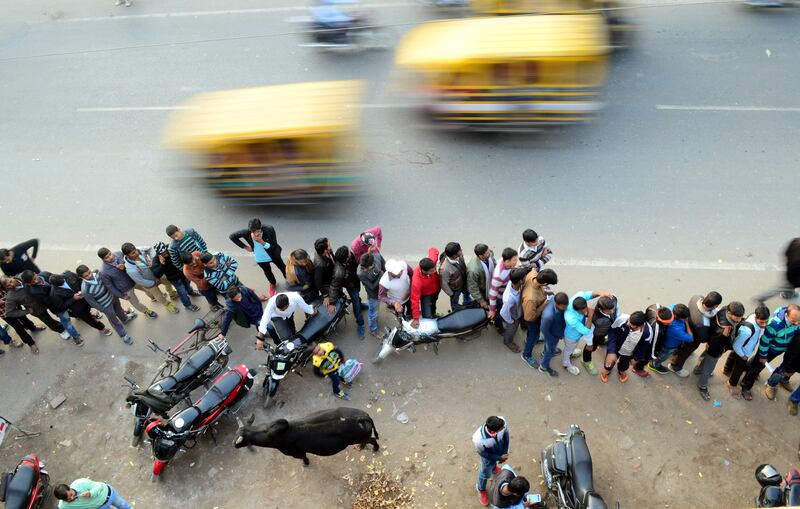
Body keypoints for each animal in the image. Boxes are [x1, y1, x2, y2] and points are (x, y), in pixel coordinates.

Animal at [233, 404, 380, 464]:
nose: (234, 444)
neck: (267, 432)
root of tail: (361, 417)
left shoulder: (296, 453)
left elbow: (304, 457)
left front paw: (306, 463)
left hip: (361, 438)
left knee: (373, 440)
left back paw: (373, 448)